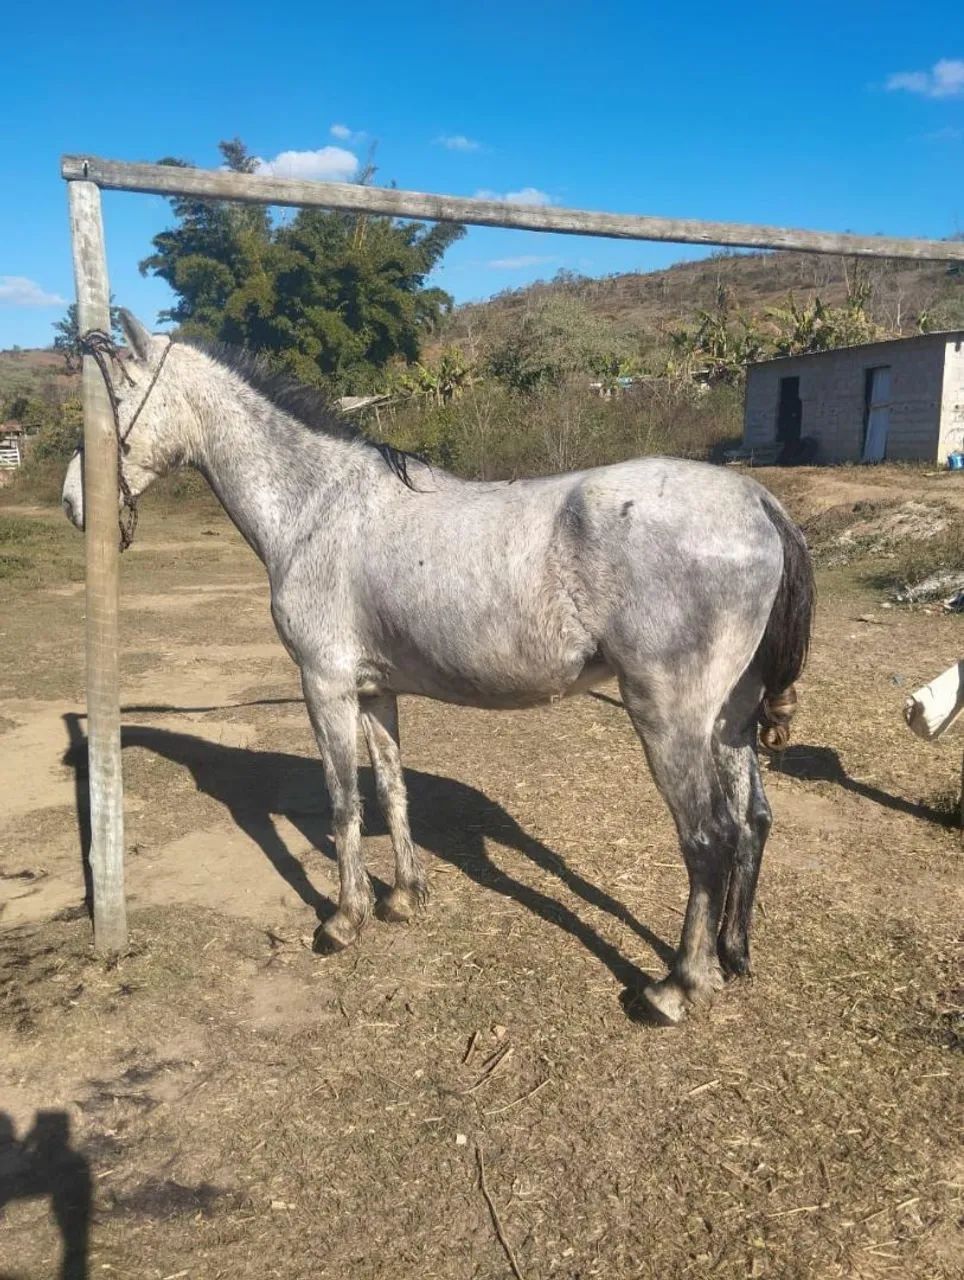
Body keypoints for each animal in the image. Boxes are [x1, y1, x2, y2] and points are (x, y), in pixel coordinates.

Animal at [62, 310, 814, 1024]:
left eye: (116, 396)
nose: (75, 501)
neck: (319, 507)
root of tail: (759, 503)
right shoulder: (374, 692)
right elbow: (391, 790)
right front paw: (404, 897)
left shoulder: (324, 686)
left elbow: (343, 801)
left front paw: (344, 921)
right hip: (730, 717)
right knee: (753, 820)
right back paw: (732, 954)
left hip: (669, 718)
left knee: (708, 837)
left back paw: (677, 989)